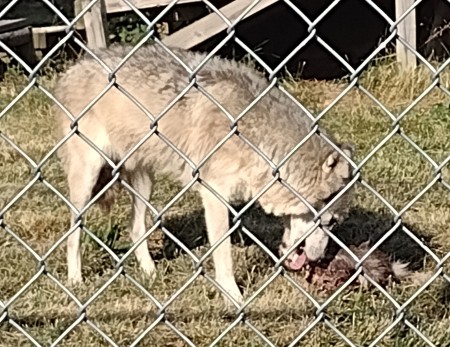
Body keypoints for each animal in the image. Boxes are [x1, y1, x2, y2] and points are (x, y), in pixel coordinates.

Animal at [52, 42, 354, 304]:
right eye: (331, 223)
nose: (318, 260)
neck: (257, 135)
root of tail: (71, 69)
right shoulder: (214, 194)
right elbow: (224, 254)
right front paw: (234, 298)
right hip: (88, 180)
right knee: (72, 233)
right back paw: (76, 281)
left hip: (144, 182)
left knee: (135, 229)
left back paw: (151, 275)